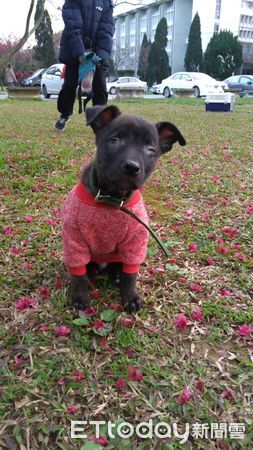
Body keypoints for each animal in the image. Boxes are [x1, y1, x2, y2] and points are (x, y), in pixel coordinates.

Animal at [60, 105, 185, 312]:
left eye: (151, 150)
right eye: (115, 140)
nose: (132, 167)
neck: (111, 198)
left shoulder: (135, 242)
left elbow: (130, 275)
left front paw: (130, 297)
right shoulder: (74, 239)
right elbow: (78, 275)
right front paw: (79, 298)